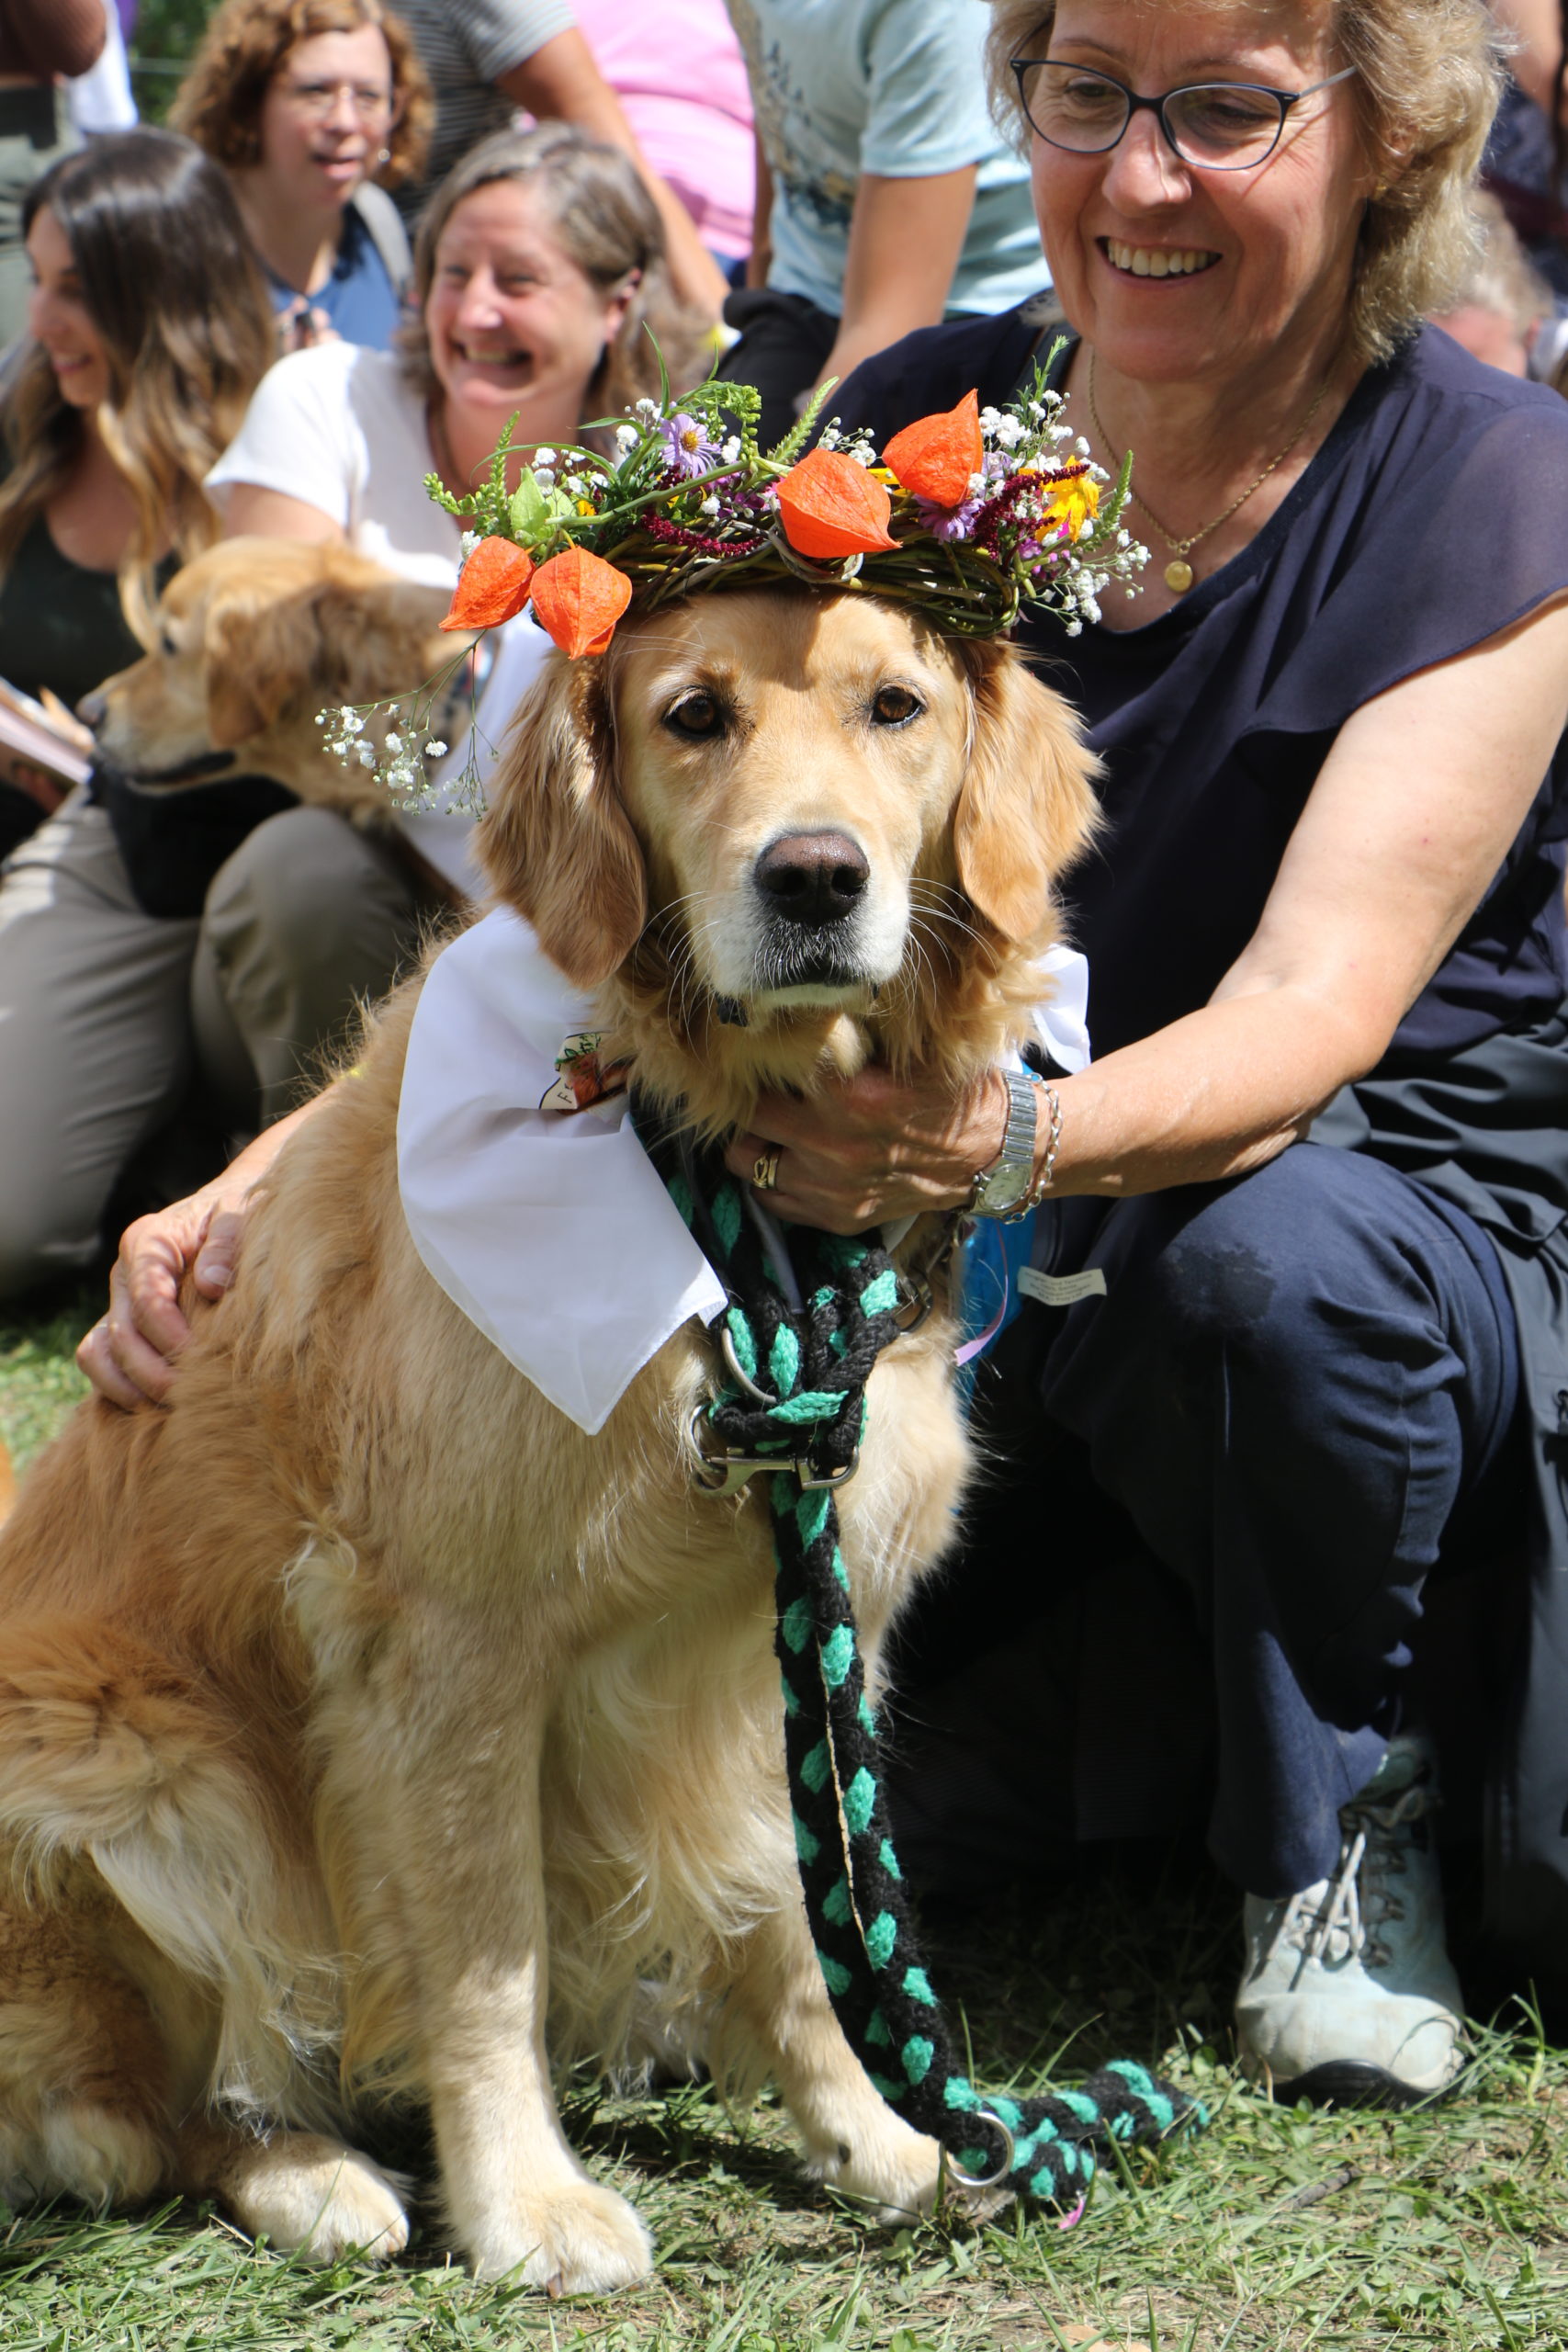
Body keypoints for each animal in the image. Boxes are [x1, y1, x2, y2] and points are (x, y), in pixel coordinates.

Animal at [0, 587, 1098, 2291]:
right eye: (693, 716)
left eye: (895, 709)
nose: (814, 877)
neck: (721, 1170)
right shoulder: (444, 1645)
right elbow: (481, 1955)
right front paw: (526, 2204)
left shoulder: (802, 1622)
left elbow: (809, 1916)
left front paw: (880, 2137)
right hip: (153, 1768)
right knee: (140, 2112)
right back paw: (314, 2176)